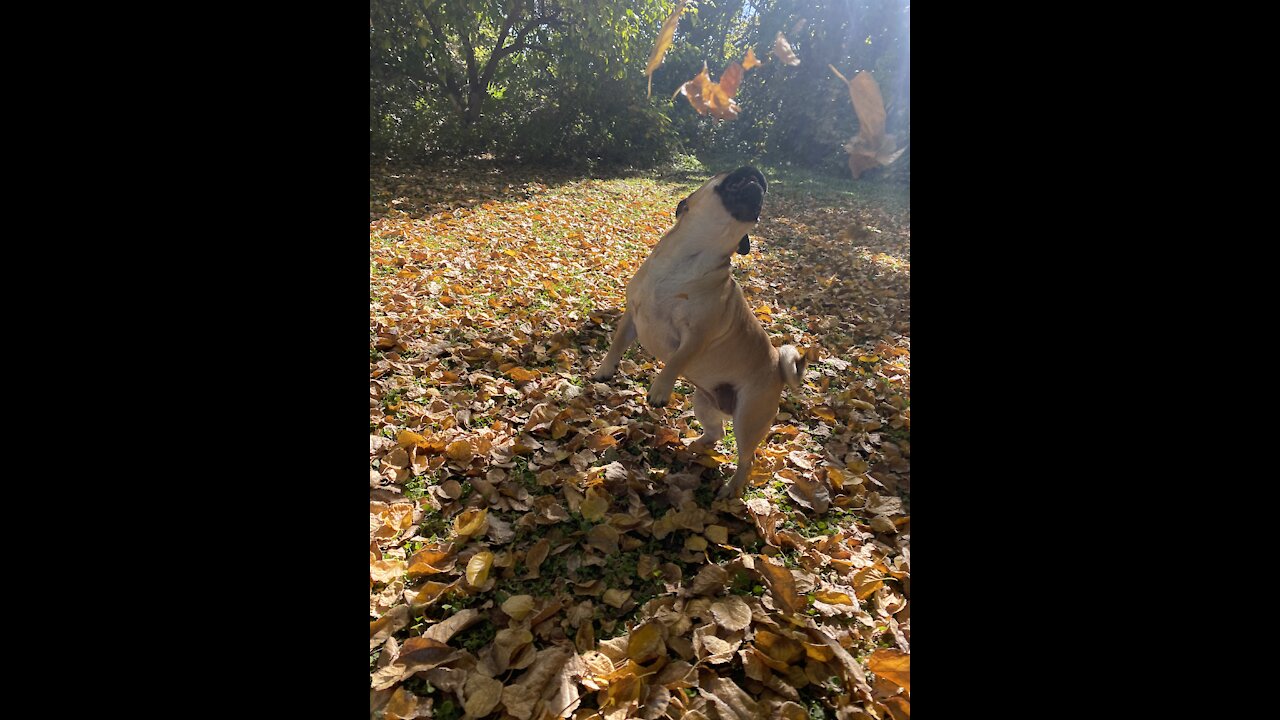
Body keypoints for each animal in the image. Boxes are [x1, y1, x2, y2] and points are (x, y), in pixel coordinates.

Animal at [591, 165, 808, 497]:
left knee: (747, 459)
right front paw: (605, 368)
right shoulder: (632, 316)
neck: (692, 256)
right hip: (704, 402)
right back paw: (694, 446)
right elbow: (616, 343)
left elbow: (676, 361)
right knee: (716, 432)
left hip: (748, 419)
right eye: (730, 174)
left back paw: (732, 488)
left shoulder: (696, 336)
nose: (755, 172)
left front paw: (660, 389)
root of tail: (778, 369)